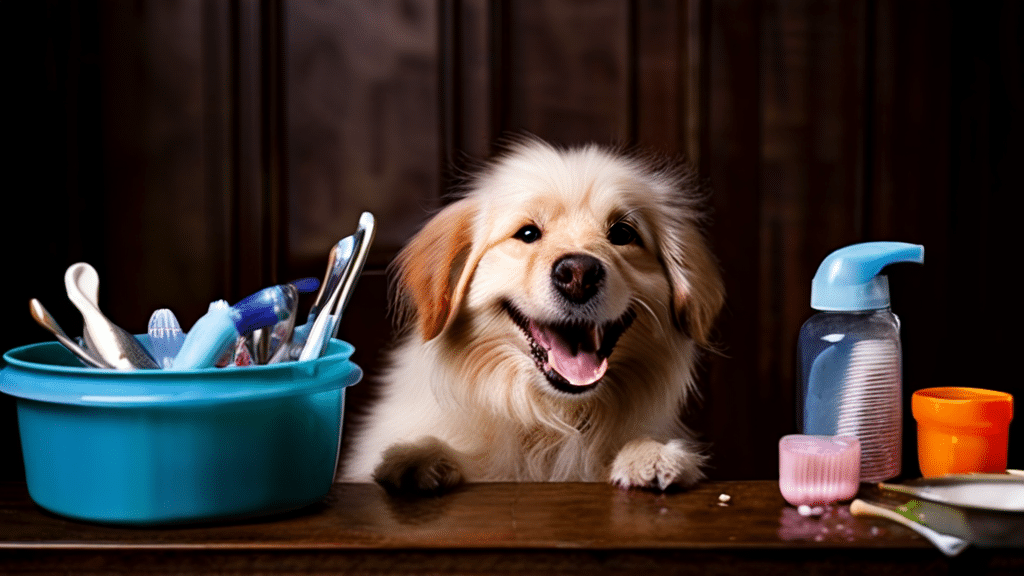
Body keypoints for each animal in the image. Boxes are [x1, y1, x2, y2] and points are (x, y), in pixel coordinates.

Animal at [346, 136, 729, 491]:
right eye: (527, 233)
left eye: (622, 233)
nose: (578, 274)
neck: (551, 422)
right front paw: (421, 456)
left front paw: (649, 455)